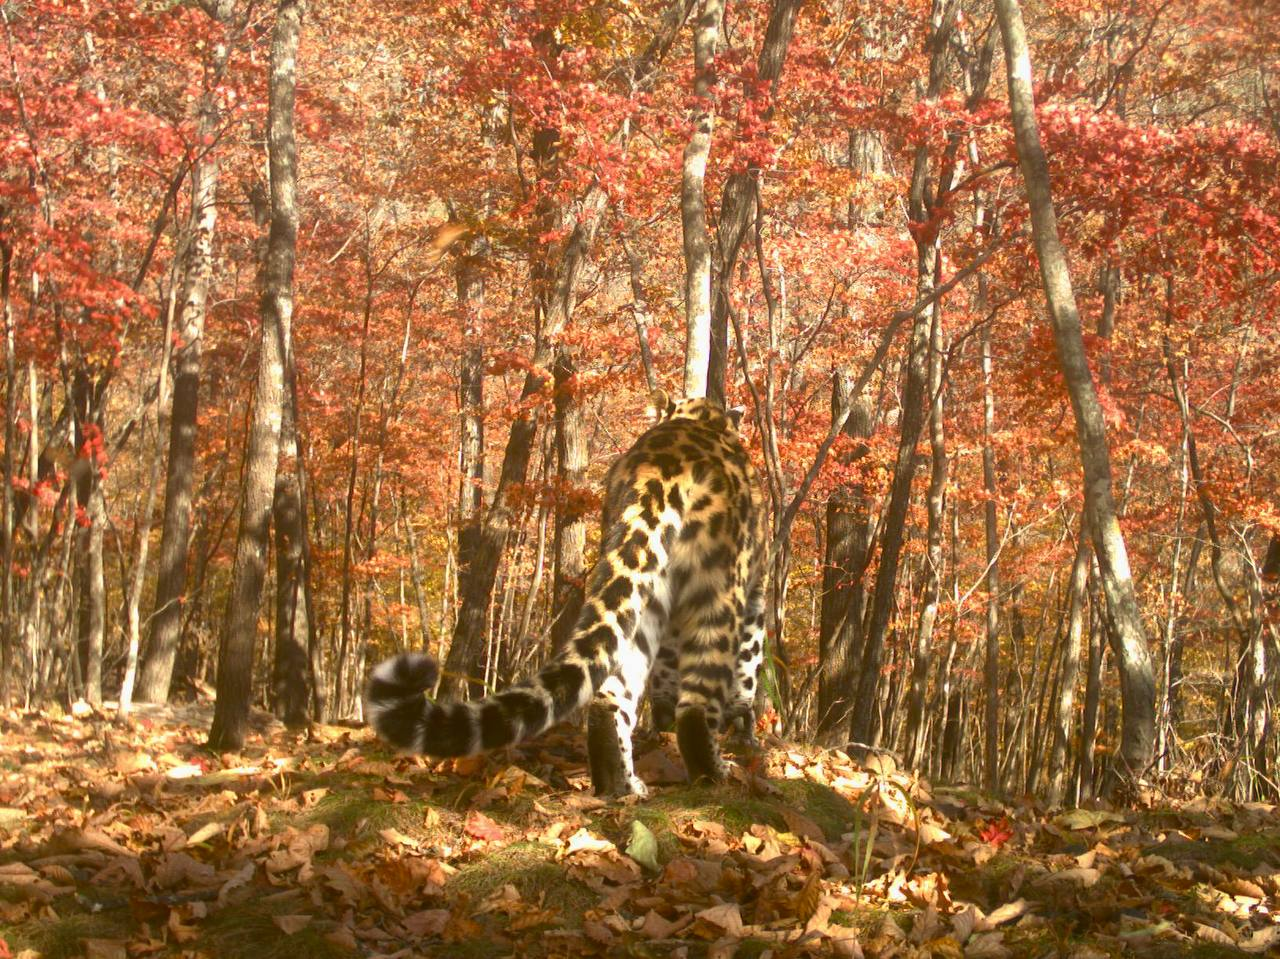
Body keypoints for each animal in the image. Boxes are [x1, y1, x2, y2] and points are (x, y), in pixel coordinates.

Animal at [360, 384, 762, 798]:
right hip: (716, 590)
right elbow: (749, 667)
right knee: (697, 703)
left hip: (645, 595)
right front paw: (745, 729)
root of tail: (663, 467)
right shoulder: (754, 594)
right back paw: (715, 773)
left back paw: (621, 784)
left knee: (608, 697)